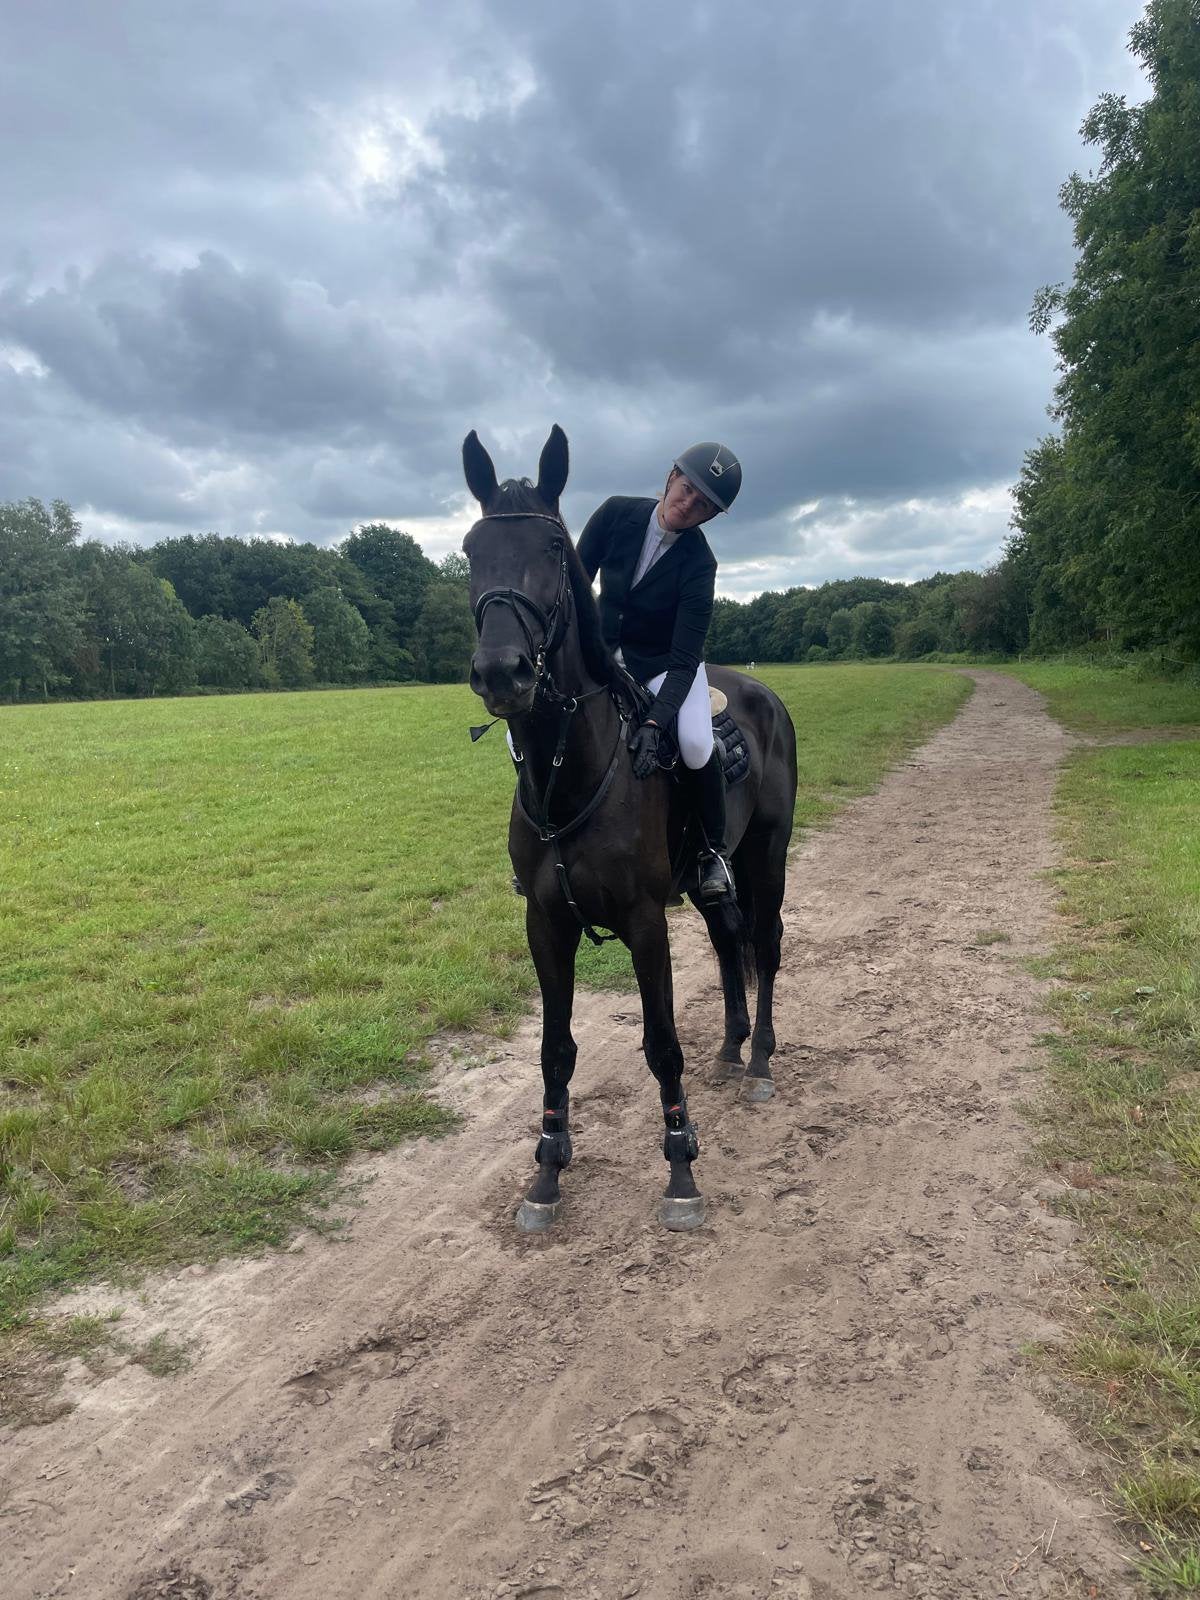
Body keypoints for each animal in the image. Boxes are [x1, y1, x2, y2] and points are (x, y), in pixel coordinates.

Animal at [463, 425, 798, 1232]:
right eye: (469, 547)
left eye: (554, 546)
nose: (501, 672)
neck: (570, 774)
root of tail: (764, 695)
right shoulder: (545, 923)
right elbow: (556, 1050)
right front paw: (546, 1173)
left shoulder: (646, 922)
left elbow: (662, 1045)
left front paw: (681, 1169)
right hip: (712, 879)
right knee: (729, 941)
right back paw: (733, 1048)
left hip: (767, 856)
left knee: (764, 944)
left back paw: (761, 1061)